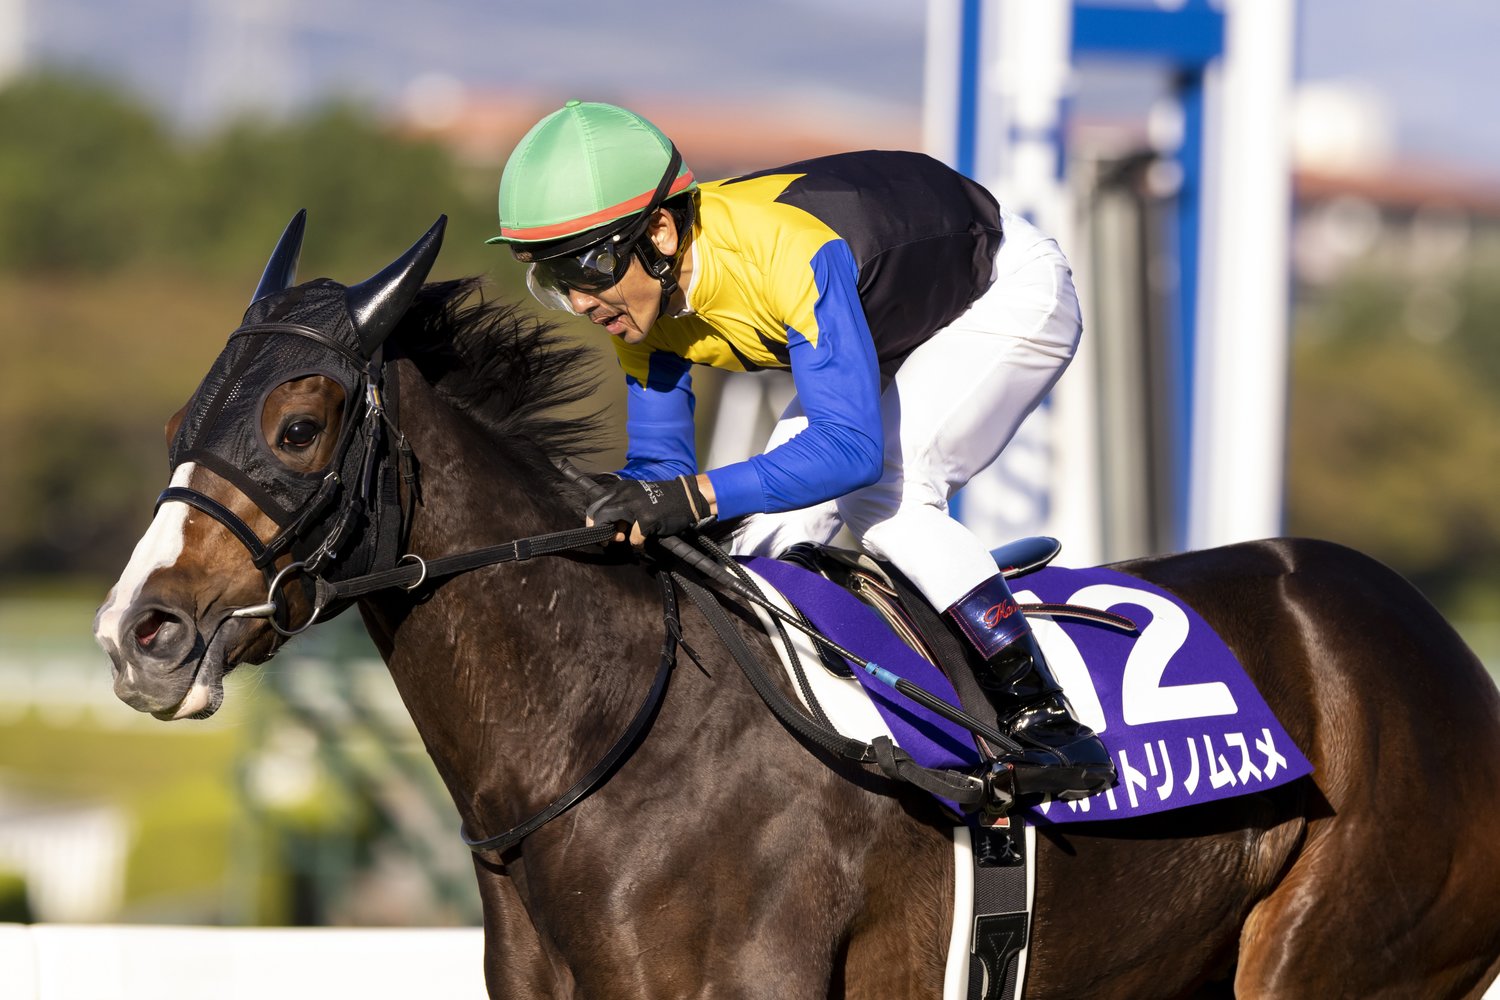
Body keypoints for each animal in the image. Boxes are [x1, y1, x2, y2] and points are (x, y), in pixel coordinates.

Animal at [95, 215, 1500, 998]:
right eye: (175, 428)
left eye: (300, 424)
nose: (139, 633)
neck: (617, 743)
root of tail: (1445, 654)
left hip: (1342, 959)